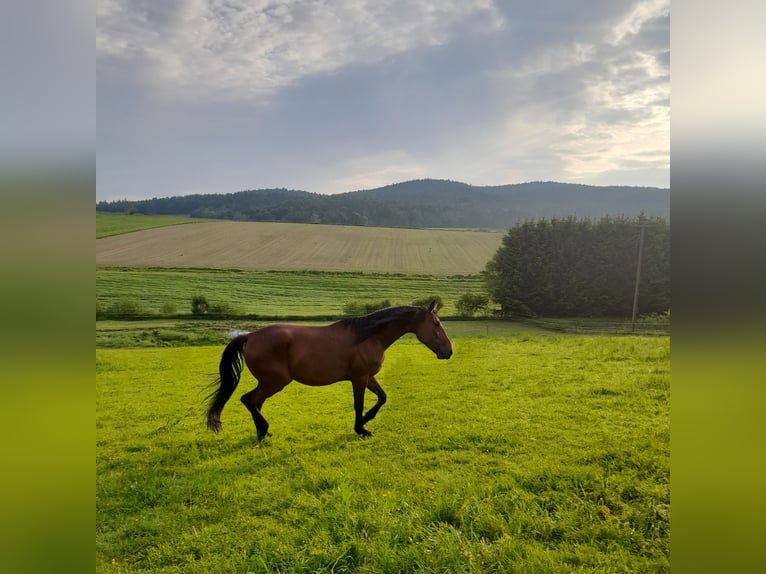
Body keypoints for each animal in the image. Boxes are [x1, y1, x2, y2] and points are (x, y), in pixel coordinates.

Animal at [207, 302, 452, 440]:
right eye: (437, 324)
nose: (448, 351)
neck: (368, 336)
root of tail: (249, 336)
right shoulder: (359, 378)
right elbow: (358, 404)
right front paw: (362, 429)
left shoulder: (368, 377)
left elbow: (382, 397)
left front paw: (366, 419)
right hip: (275, 382)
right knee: (248, 400)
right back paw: (264, 430)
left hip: (269, 383)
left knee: (255, 403)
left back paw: (262, 432)